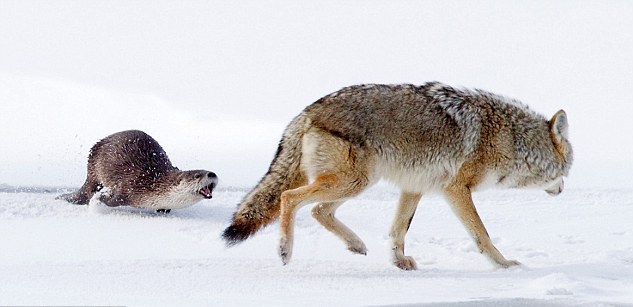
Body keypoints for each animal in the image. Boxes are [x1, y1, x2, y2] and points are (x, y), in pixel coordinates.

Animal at [59, 129, 217, 213]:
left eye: (209, 170)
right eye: (197, 175)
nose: (213, 174)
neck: (154, 184)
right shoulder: (131, 186)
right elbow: (114, 200)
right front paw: (101, 199)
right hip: (95, 168)